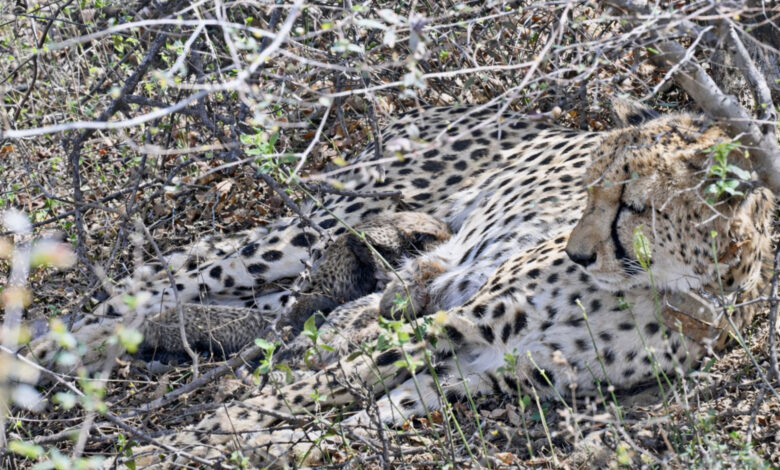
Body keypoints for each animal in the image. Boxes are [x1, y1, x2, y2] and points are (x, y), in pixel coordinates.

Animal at [27, 100, 775, 469]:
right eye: (589, 188)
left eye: (630, 202)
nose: (577, 251)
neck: (677, 287)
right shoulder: (460, 321)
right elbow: (318, 387)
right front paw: (209, 436)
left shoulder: (502, 367)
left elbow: (372, 409)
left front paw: (270, 446)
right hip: (321, 225)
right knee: (170, 280)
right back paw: (50, 349)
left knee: (260, 310)